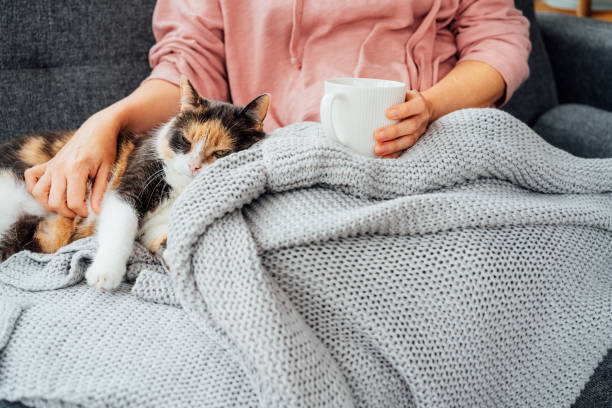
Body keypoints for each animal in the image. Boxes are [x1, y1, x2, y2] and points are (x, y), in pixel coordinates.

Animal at [0, 76, 268, 290]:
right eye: (185, 140)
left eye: (221, 153)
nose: (194, 166)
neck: (179, 189)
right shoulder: (129, 184)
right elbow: (120, 228)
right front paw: (105, 274)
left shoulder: (155, 226)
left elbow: (163, 235)